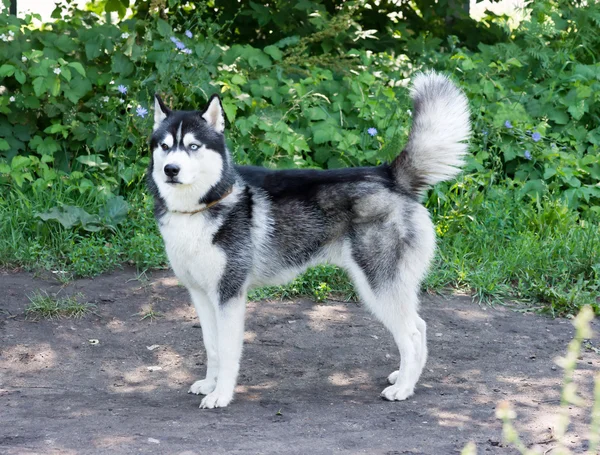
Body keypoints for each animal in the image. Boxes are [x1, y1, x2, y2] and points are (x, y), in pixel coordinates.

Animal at [148, 72, 472, 410]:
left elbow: (226, 352)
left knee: (412, 332)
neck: (199, 207)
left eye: (193, 146)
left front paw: (221, 395)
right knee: (419, 327)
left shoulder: (229, 294)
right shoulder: (201, 294)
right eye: (165, 146)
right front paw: (209, 385)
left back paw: (404, 388)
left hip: (378, 285)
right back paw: (404, 377)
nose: (171, 169)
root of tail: (388, 175)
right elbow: (212, 347)